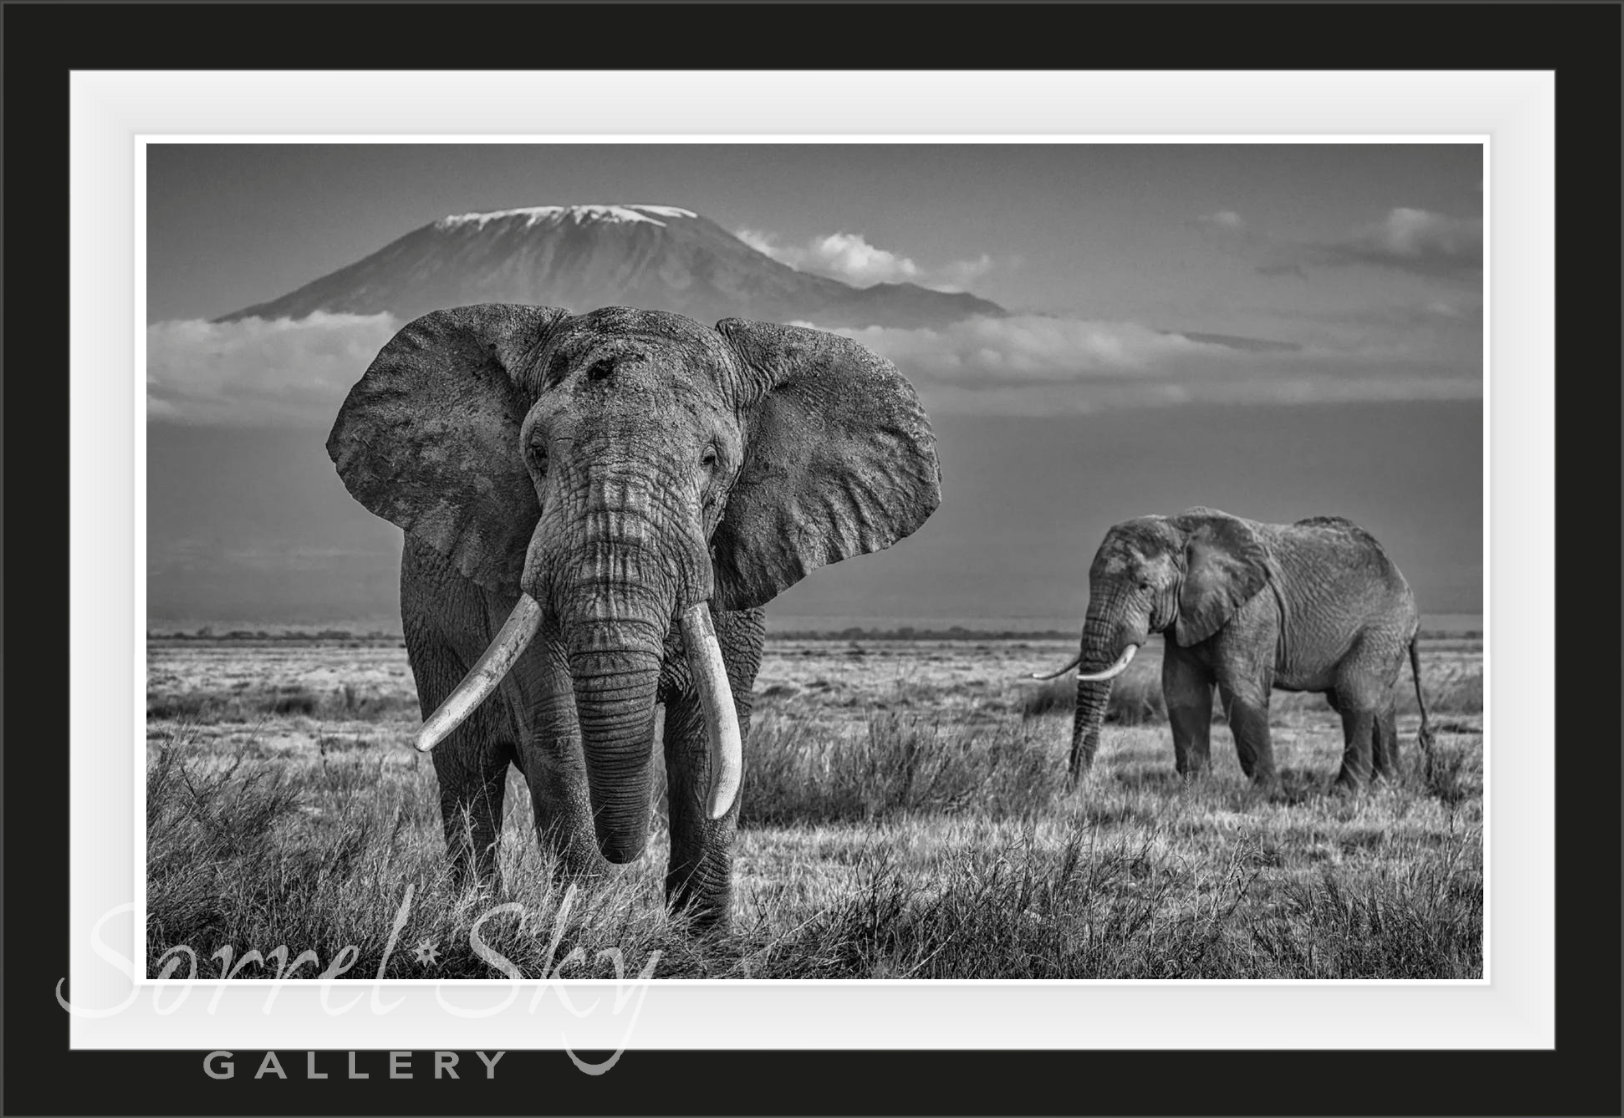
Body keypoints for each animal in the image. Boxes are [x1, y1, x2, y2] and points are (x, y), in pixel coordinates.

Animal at [326, 300, 941, 923]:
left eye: (711, 460)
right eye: (537, 455)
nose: (626, 852)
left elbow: (710, 739)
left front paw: (701, 940)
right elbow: (560, 731)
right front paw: (584, 924)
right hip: (429, 629)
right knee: (468, 771)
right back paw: (476, 913)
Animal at [1039, 507, 1435, 786]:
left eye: (1143, 586)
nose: (1072, 788)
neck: (1180, 528)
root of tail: (1402, 579)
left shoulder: (1253, 608)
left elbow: (1239, 687)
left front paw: (1266, 792)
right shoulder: (1188, 612)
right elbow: (1182, 691)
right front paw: (1195, 790)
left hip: (1381, 627)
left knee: (1354, 693)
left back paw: (1347, 790)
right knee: (1375, 699)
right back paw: (1387, 784)